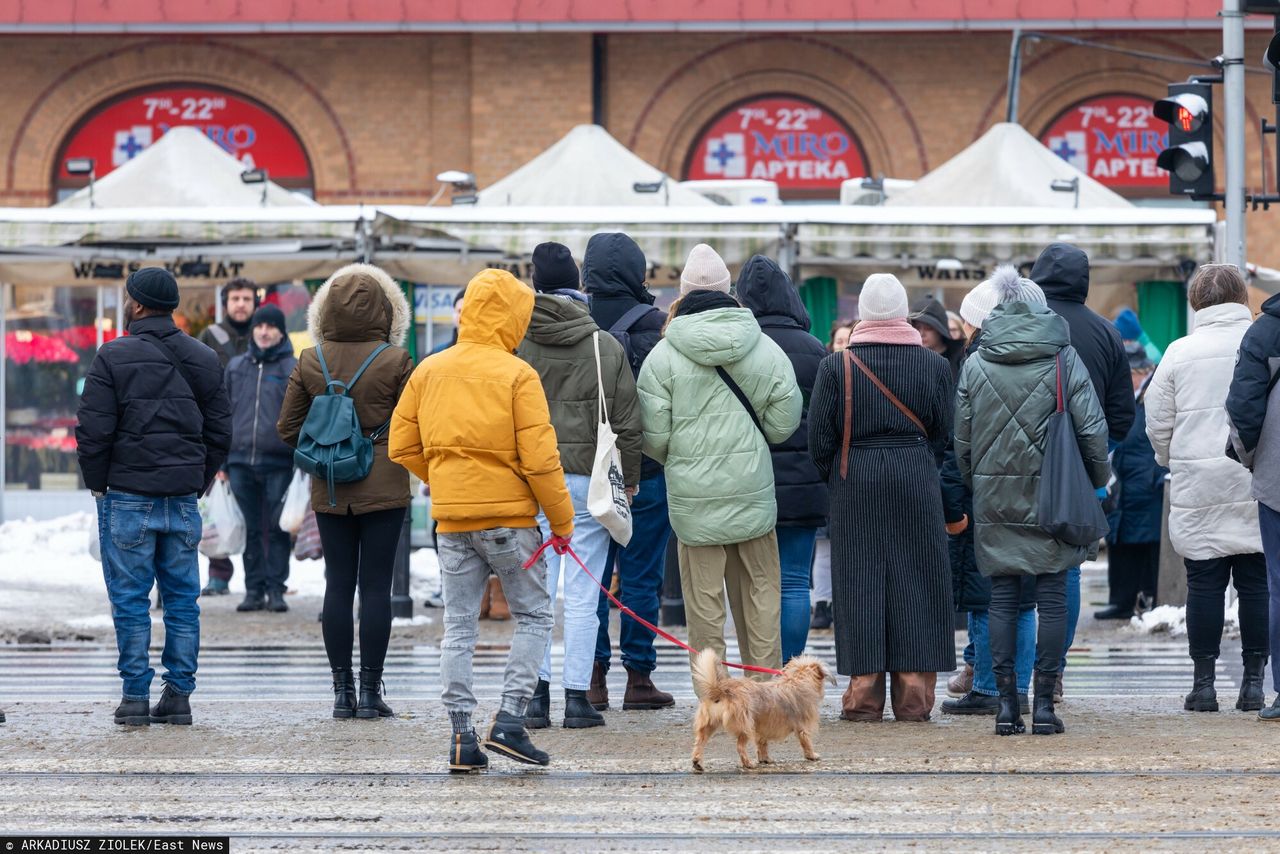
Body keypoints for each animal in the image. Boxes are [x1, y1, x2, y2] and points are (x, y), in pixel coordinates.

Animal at [696, 650, 834, 773]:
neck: (798, 679)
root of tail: (720, 689)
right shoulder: (802, 727)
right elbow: (806, 742)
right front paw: (811, 755)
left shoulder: (761, 728)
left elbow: (762, 744)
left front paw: (764, 759)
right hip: (745, 727)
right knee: (740, 747)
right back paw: (748, 763)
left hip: (709, 725)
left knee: (700, 742)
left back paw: (697, 762)